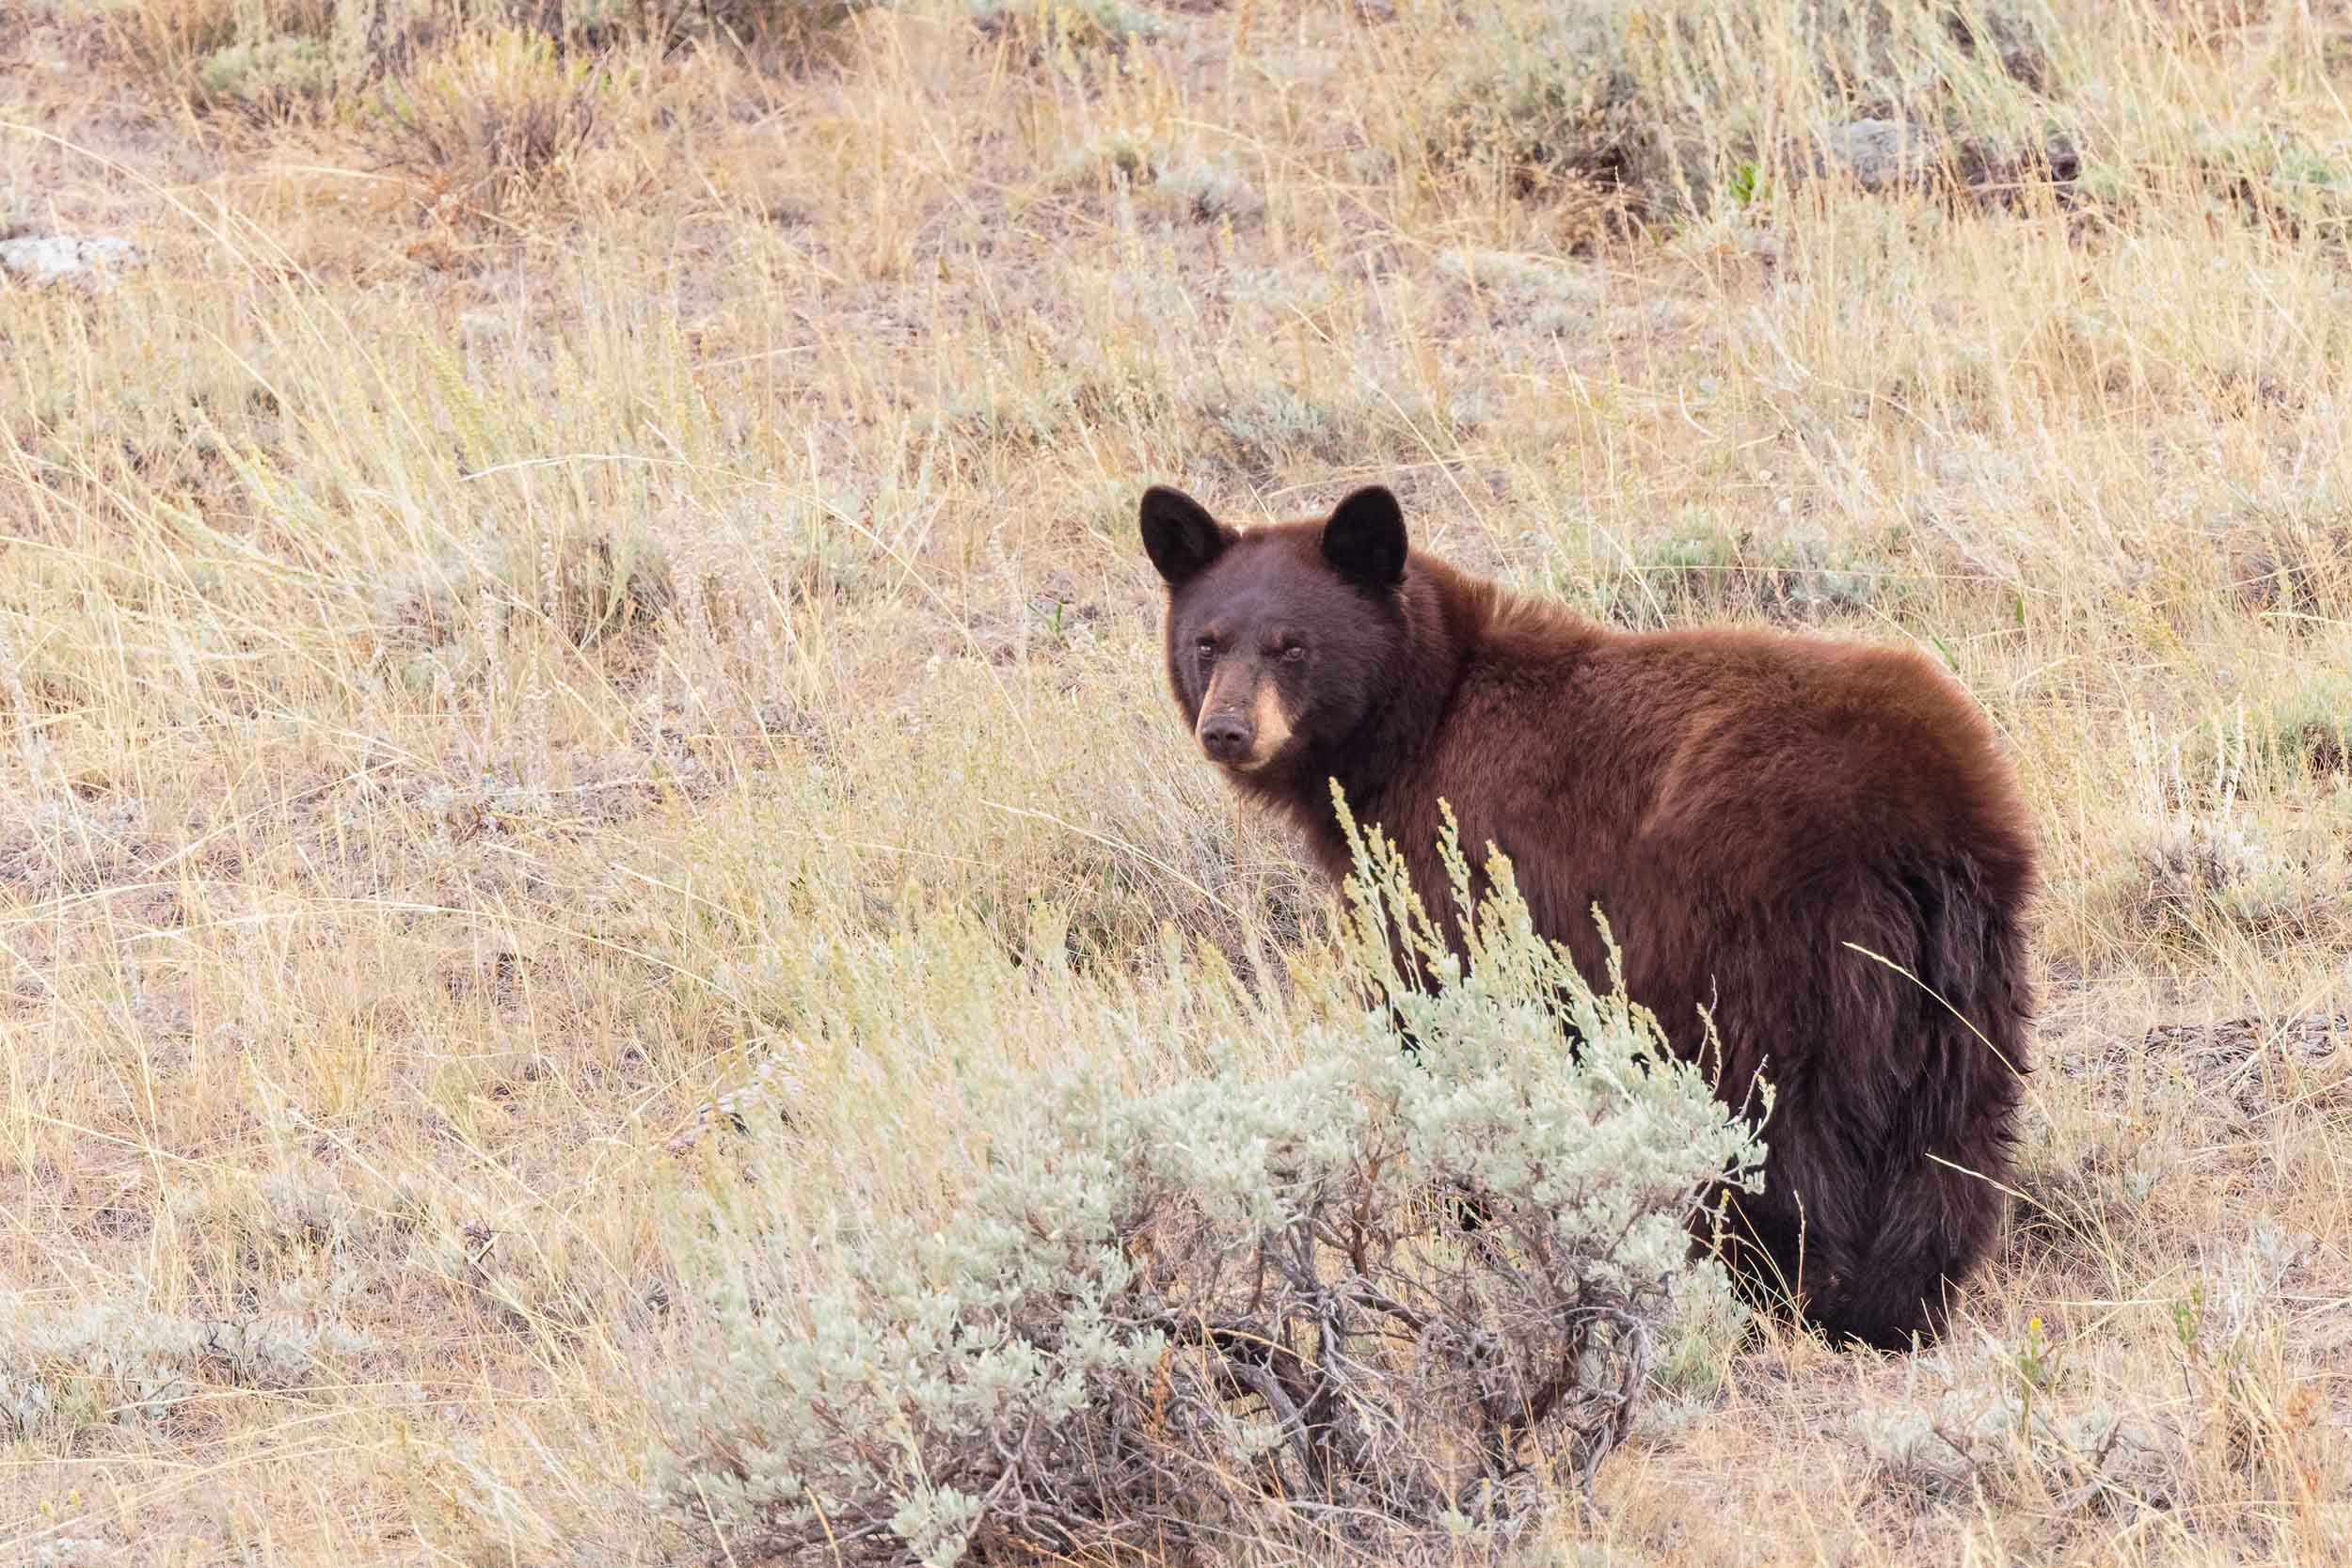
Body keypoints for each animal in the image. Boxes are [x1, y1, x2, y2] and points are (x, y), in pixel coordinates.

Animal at [1139, 480, 2037, 1352]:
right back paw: (1900, 1301)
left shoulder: (1459, 864)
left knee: (1780, 1123)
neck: (1423, 718)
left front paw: (1469, 1201)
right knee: (1952, 1135)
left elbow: (1440, 1012)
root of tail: (1919, 818)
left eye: (1292, 644)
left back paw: (1778, 1291)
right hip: (1964, 975)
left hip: (1775, 948)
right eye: (1208, 641)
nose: (1227, 729)